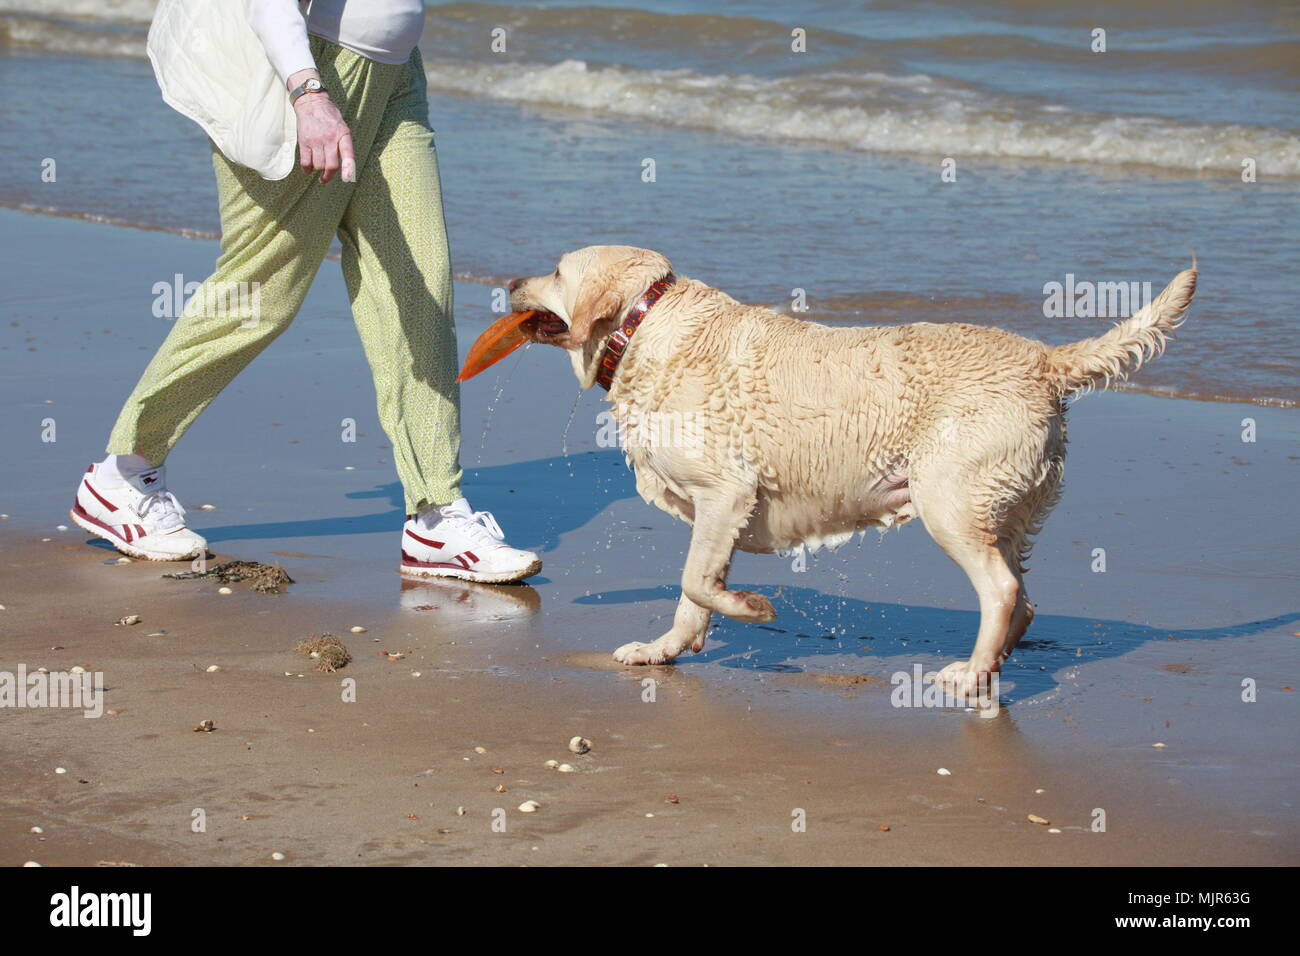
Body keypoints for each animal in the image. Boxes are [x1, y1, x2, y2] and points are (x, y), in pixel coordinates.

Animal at [501, 247, 1190, 686]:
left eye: (556, 270)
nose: (507, 282)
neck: (645, 325)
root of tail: (1046, 360)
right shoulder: (717, 511)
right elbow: (691, 597)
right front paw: (665, 650)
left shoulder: (727, 493)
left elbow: (696, 583)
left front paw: (752, 608)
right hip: (1005, 507)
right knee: (1022, 598)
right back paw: (991, 664)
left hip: (951, 501)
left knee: (1001, 590)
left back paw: (971, 674)